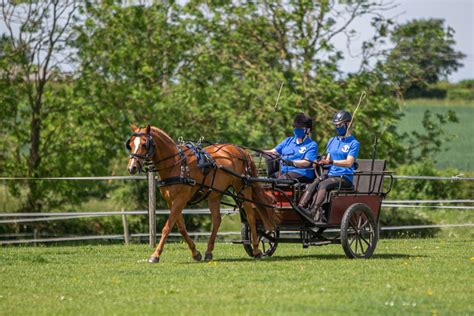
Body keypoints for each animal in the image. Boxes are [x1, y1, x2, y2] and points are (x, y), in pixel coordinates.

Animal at [125, 124, 278, 262]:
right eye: (131, 144)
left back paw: (257, 250)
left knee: (251, 217)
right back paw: (209, 252)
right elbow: (181, 227)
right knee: (217, 220)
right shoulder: (171, 201)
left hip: (243, 189)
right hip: (214, 195)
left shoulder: (181, 199)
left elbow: (167, 227)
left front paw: (155, 255)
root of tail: (242, 151)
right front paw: (195, 253)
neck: (176, 164)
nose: (132, 168)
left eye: (144, 144)